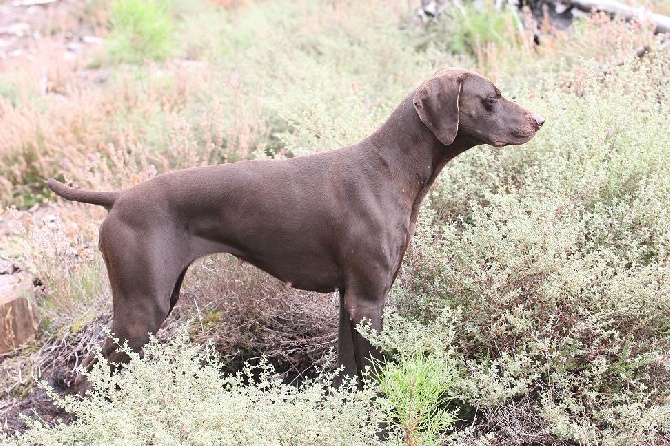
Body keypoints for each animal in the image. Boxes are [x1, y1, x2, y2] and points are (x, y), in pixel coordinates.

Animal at [47, 68, 544, 386]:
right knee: (84, 381)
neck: (390, 168)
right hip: (140, 312)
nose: (540, 120)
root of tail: (118, 198)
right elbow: (376, 372)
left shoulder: (350, 298)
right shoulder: (368, 301)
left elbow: (348, 372)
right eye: (492, 98)